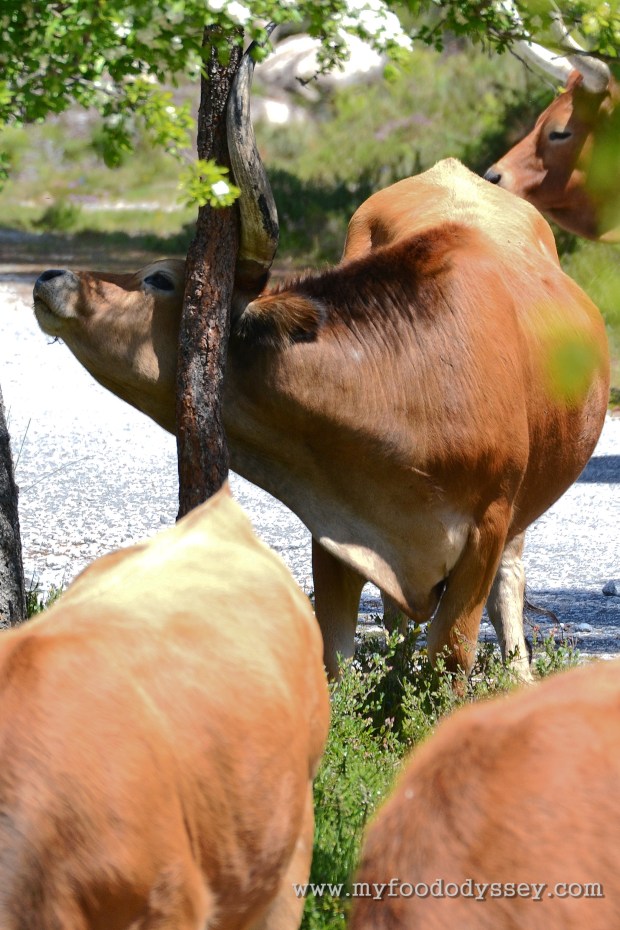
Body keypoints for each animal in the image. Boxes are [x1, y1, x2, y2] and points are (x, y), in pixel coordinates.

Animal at [32, 50, 610, 682]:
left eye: (159, 278)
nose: (50, 276)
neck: (407, 389)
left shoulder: (487, 527)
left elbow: (451, 652)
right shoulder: (337, 526)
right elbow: (334, 653)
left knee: (511, 578)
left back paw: (518, 672)